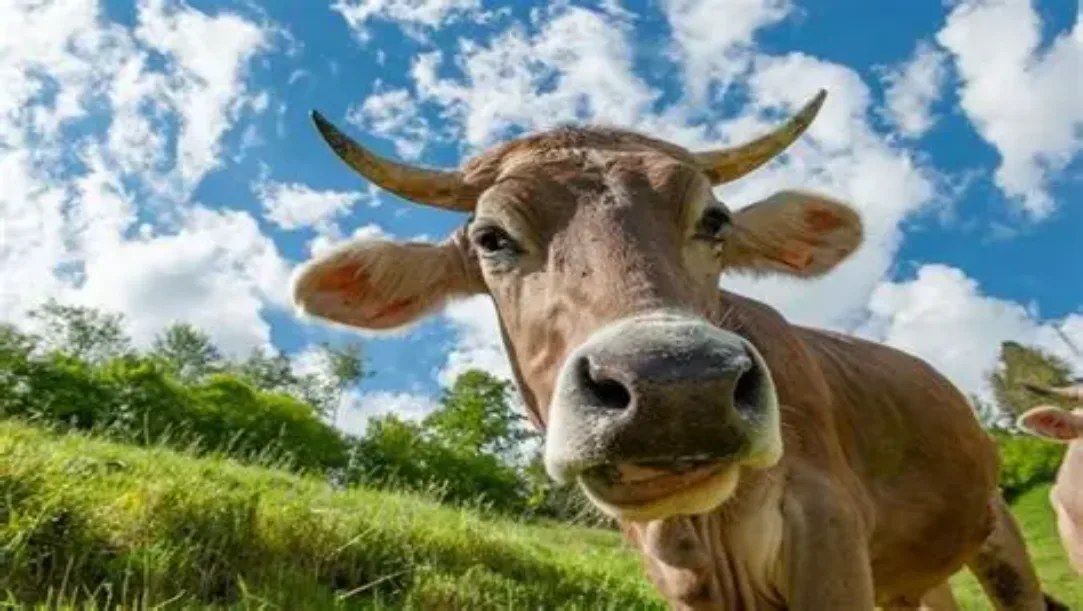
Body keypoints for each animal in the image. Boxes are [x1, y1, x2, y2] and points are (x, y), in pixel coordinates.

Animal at [291, 89, 1062, 609]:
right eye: (491, 238)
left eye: (714, 220)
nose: (677, 387)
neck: (701, 534)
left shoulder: (829, 533)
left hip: (997, 536)